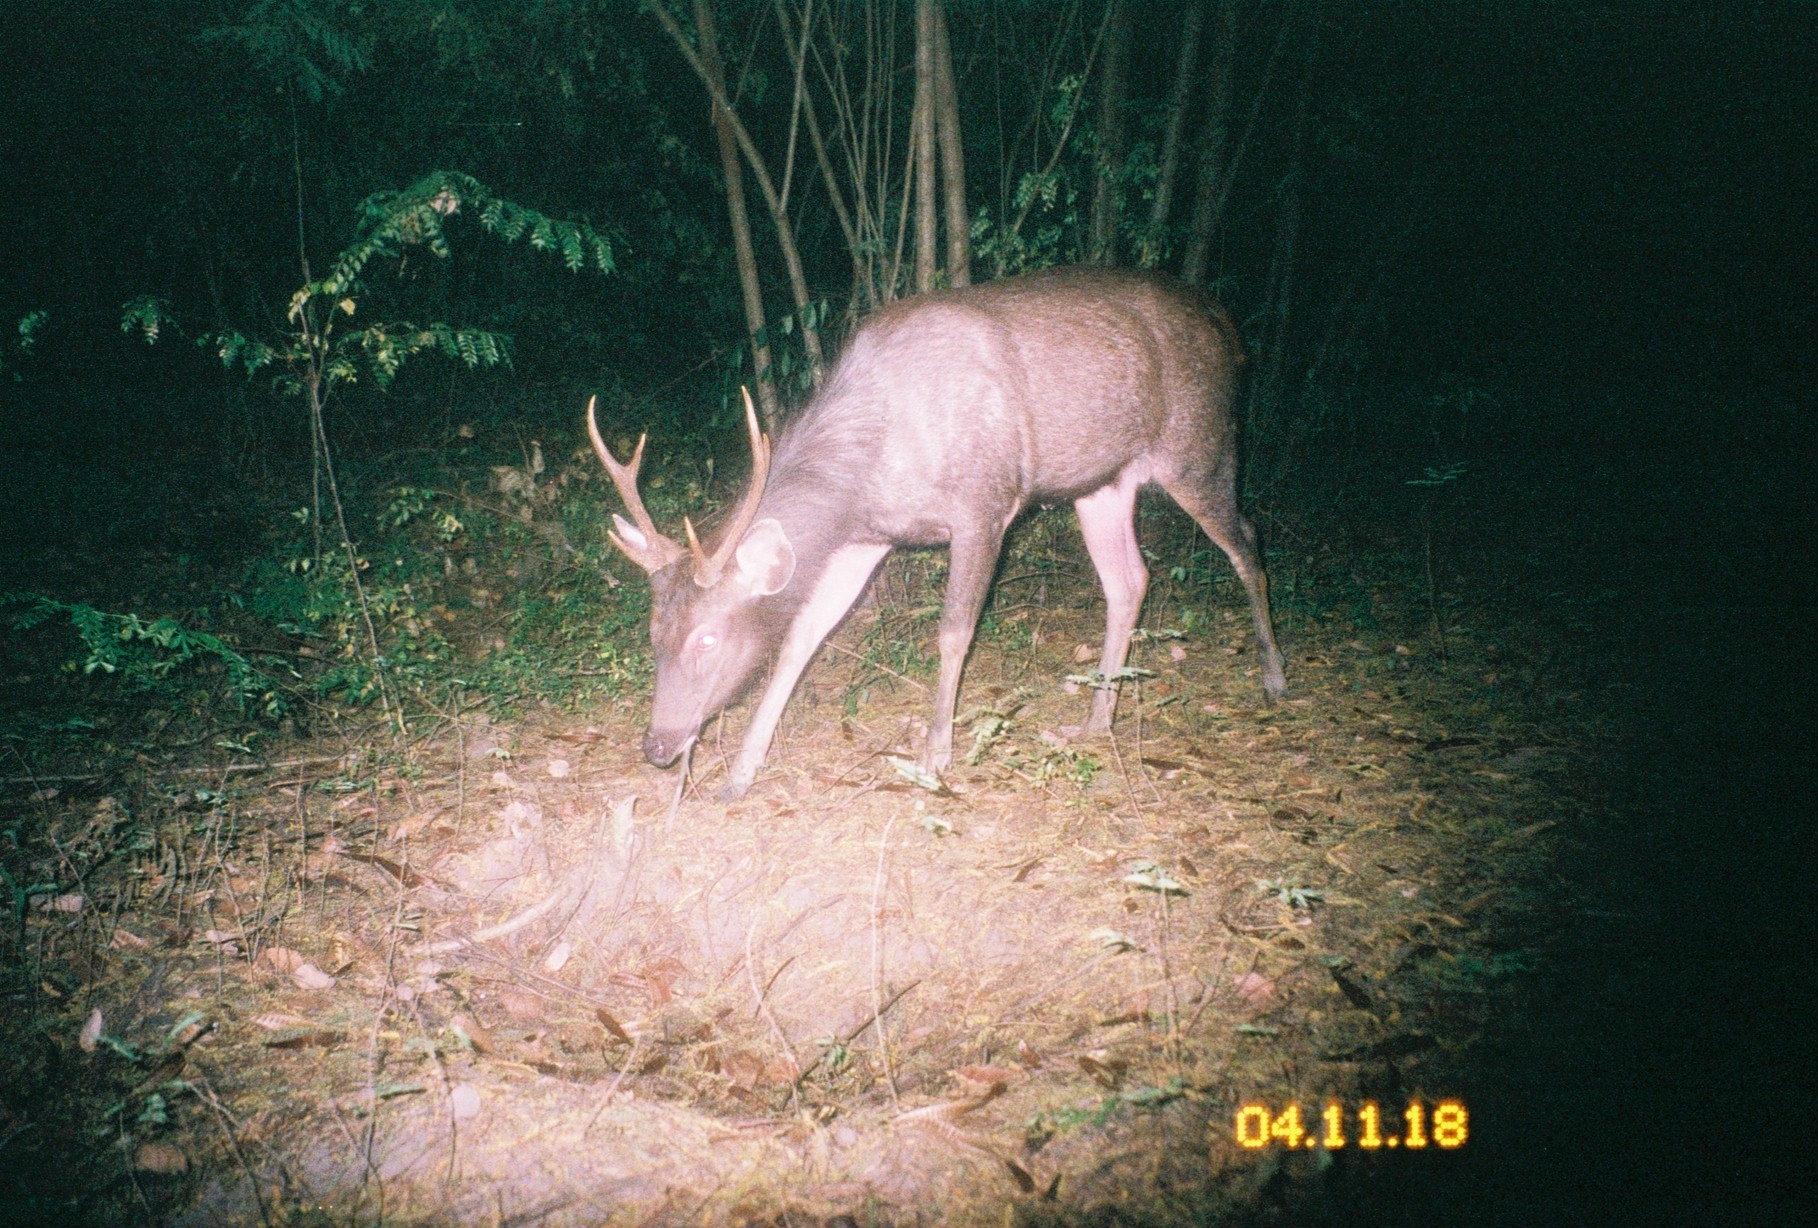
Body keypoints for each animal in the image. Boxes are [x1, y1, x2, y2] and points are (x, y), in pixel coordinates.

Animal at [589, 267, 1287, 800]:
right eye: (653, 634)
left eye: (706, 639)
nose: (657, 745)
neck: (874, 452)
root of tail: (1229, 329)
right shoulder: (867, 536)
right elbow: (800, 640)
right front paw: (739, 773)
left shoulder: (984, 503)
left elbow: (953, 632)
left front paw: (935, 755)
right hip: (1101, 482)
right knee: (1130, 579)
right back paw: (1095, 721)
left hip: (1199, 445)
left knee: (1249, 541)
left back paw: (1275, 679)